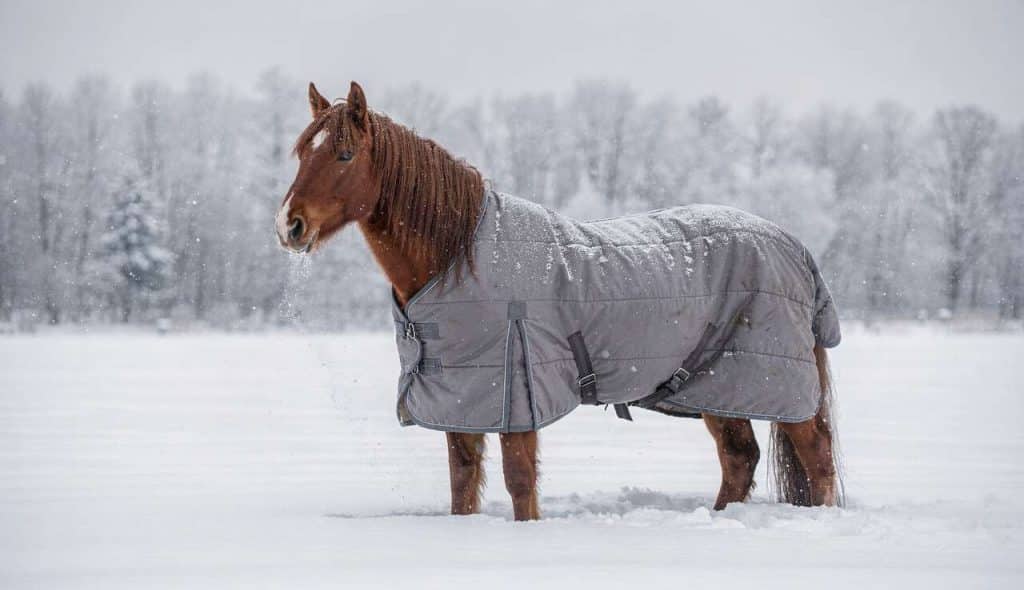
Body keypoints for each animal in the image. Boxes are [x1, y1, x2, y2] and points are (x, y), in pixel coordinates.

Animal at [275, 81, 843, 521]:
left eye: (345, 154)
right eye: (302, 152)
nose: (289, 225)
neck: (459, 255)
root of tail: (794, 245)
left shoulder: (516, 394)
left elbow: (519, 481)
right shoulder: (462, 401)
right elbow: (463, 484)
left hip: (774, 386)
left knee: (816, 458)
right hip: (722, 388)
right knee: (739, 458)